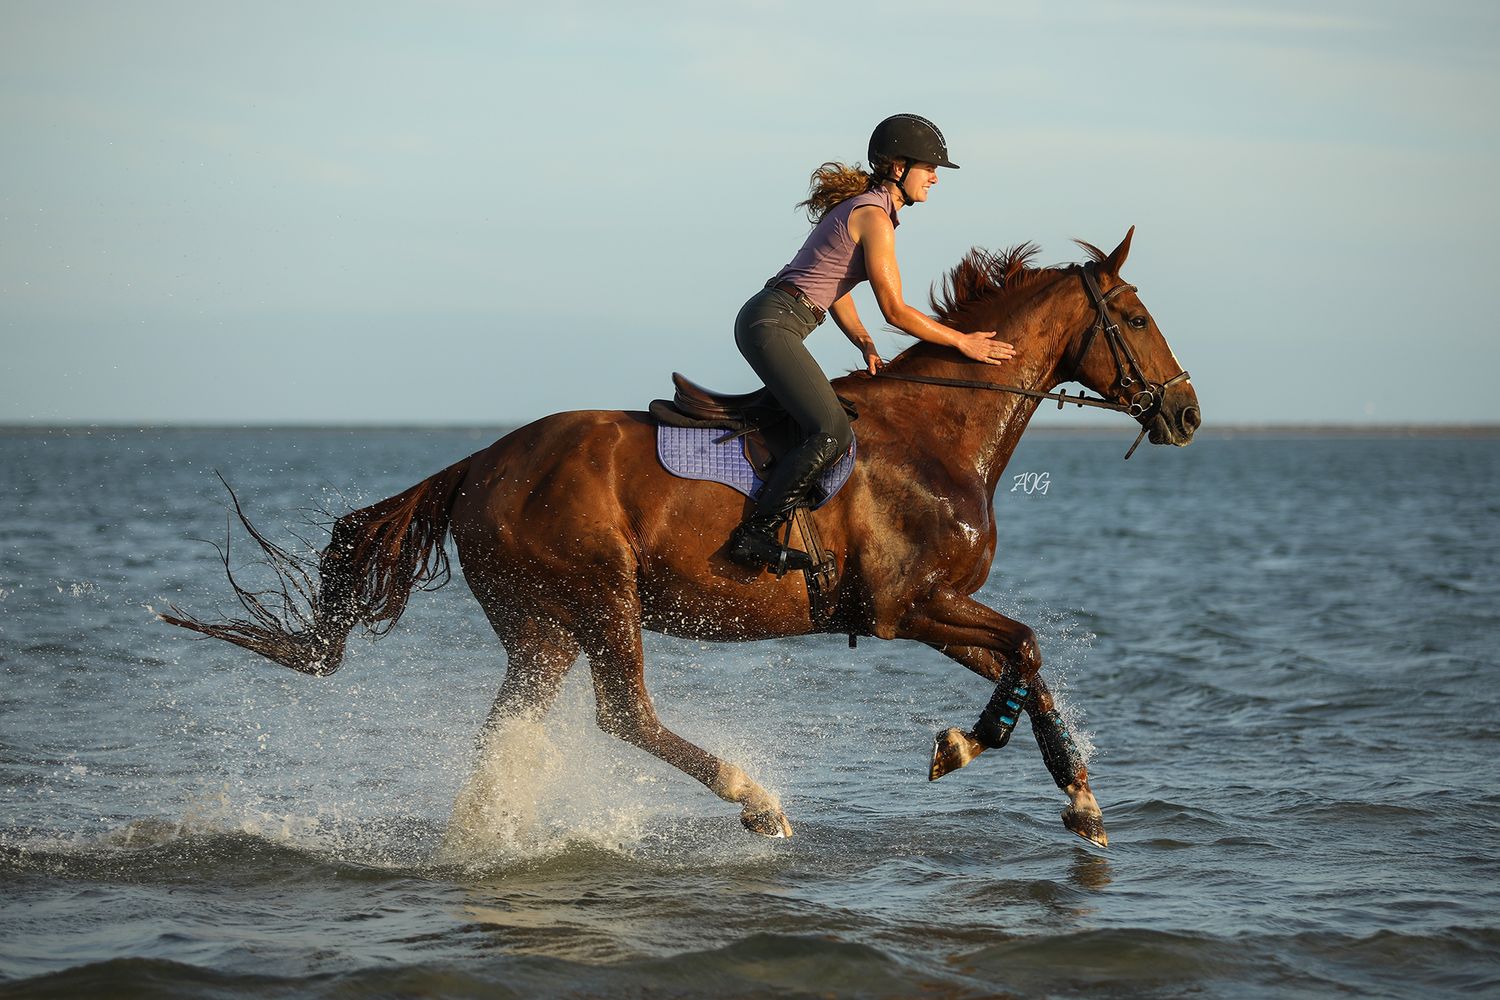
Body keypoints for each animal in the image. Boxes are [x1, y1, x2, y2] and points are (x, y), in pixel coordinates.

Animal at [162, 227, 1199, 848]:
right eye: (1137, 316)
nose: (1187, 413)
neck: (938, 433)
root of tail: (483, 463)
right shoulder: (911, 607)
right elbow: (1025, 647)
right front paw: (975, 751)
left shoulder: (936, 610)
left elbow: (1027, 660)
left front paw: (1060, 792)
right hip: (600, 597)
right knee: (625, 715)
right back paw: (756, 800)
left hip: (539, 626)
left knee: (508, 733)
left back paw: (484, 843)